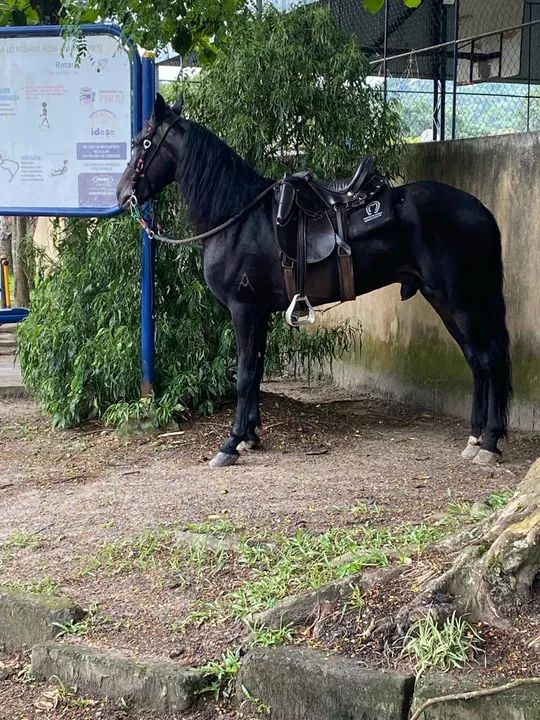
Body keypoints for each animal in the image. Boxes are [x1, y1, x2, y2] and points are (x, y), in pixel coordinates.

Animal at [116, 94, 511, 469]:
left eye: (142, 143)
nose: (122, 196)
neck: (238, 218)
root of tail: (480, 210)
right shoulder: (260, 313)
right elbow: (256, 372)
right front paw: (250, 437)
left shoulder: (244, 310)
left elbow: (244, 375)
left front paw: (231, 443)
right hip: (445, 299)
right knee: (476, 361)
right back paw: (475, 437)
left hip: (459, 300)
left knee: (489, 359)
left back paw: (490, 442)